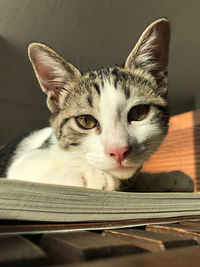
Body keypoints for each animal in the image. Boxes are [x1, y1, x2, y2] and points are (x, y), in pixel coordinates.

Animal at [0, 17, 194, 192]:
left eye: (139, 112)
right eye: (85, 121)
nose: (119, 150)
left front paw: (168, 177)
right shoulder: (22, 165)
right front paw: (94, 176)